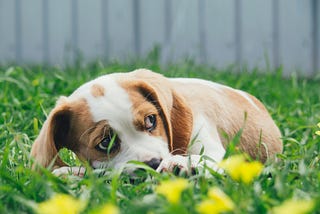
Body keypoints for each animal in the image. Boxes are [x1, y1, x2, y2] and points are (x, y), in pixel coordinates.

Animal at [29, 68, 280, 176]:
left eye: (151, 120)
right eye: (105, 143)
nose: (153, 163)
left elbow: (206, 157)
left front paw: (183, 163)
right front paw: (71, 172)